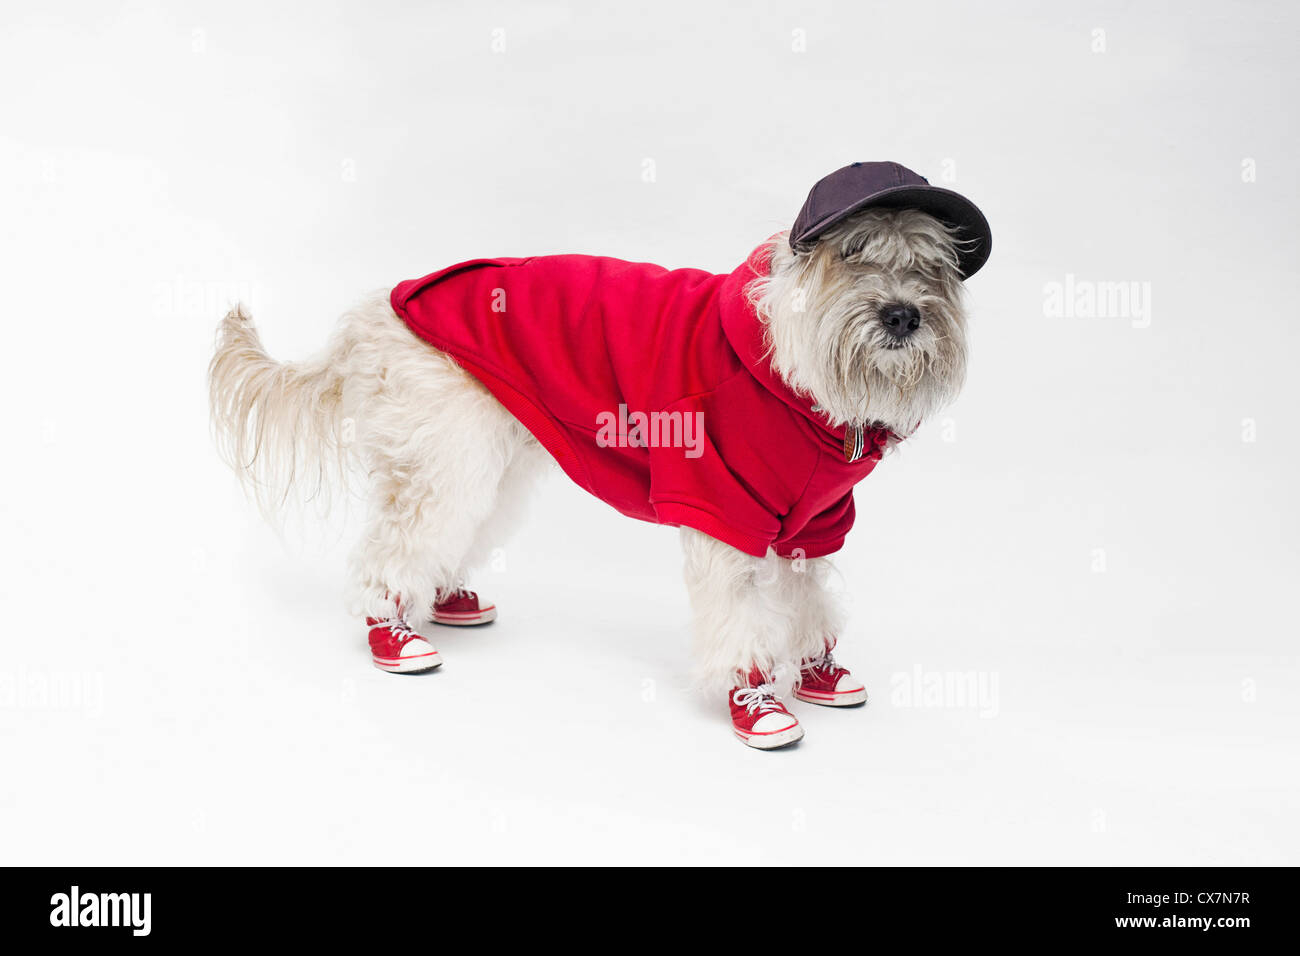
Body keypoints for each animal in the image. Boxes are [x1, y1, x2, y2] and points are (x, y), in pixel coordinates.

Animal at [208, 162, 987, 749]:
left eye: (930, 266)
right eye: (853, 255)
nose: (901, 315)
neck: (791, 370)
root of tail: (378, 311)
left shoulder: (814, 521)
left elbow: (810, 601)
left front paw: (820, 672)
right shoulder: (724, 513)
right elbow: (740, 620)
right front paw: (757, 700)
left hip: (490, 459)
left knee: (449, 536)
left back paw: (448, 600)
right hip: (445, 459)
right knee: (391, 552)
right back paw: (392, 634)